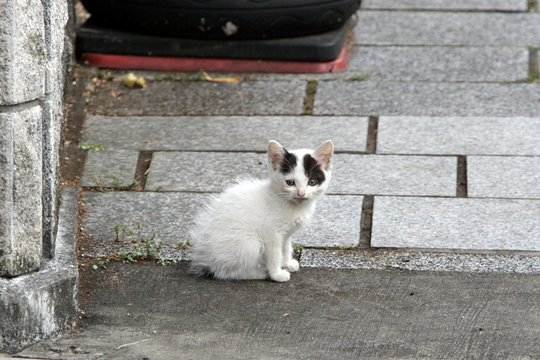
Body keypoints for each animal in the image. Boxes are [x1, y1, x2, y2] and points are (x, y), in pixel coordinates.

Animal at [190, 139, 334, 282]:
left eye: (312, 182)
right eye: (290, 182)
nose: (301, 193)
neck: (293, 205)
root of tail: (206, 258)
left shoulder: (286, 234)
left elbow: (285, 247)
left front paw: (287, 263)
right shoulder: (271, 233)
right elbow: (275, 254)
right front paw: (277, 274)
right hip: (249, 244)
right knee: (225, 272)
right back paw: (258, 273)